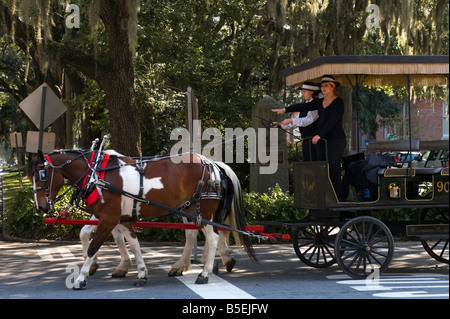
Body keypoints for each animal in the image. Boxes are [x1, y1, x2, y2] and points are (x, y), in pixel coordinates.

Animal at [27, 150, 256, 290]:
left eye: (42, 174)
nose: (41, 206)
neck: (97, 175)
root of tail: (211, 163)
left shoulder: (109, 218)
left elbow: (94, 246)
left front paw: (82, 276)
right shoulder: (123, 218)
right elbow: (134, 243)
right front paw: (140, 273)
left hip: (205, 211)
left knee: (212, 236)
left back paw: (205, 273)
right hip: (190, 208)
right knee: (194, 234)